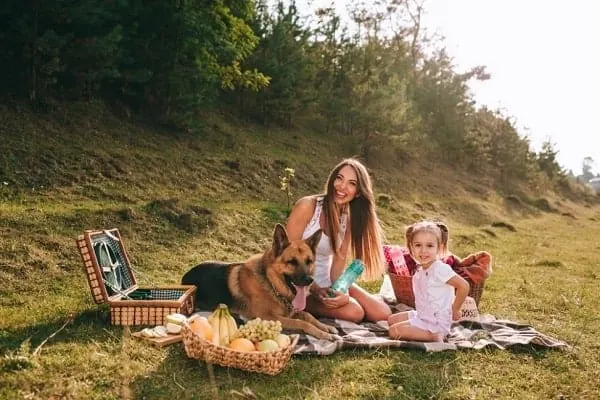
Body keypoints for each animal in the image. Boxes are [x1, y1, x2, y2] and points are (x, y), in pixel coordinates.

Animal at [180, 223, 340, 340]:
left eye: (309, 261)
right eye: (292, 262)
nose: (309, 280)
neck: (271, 284)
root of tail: (185, 275)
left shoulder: (289, 312)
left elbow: (307, 315)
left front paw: (326, 327)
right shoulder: (268, 317)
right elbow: (301, 322)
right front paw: (323, 333)